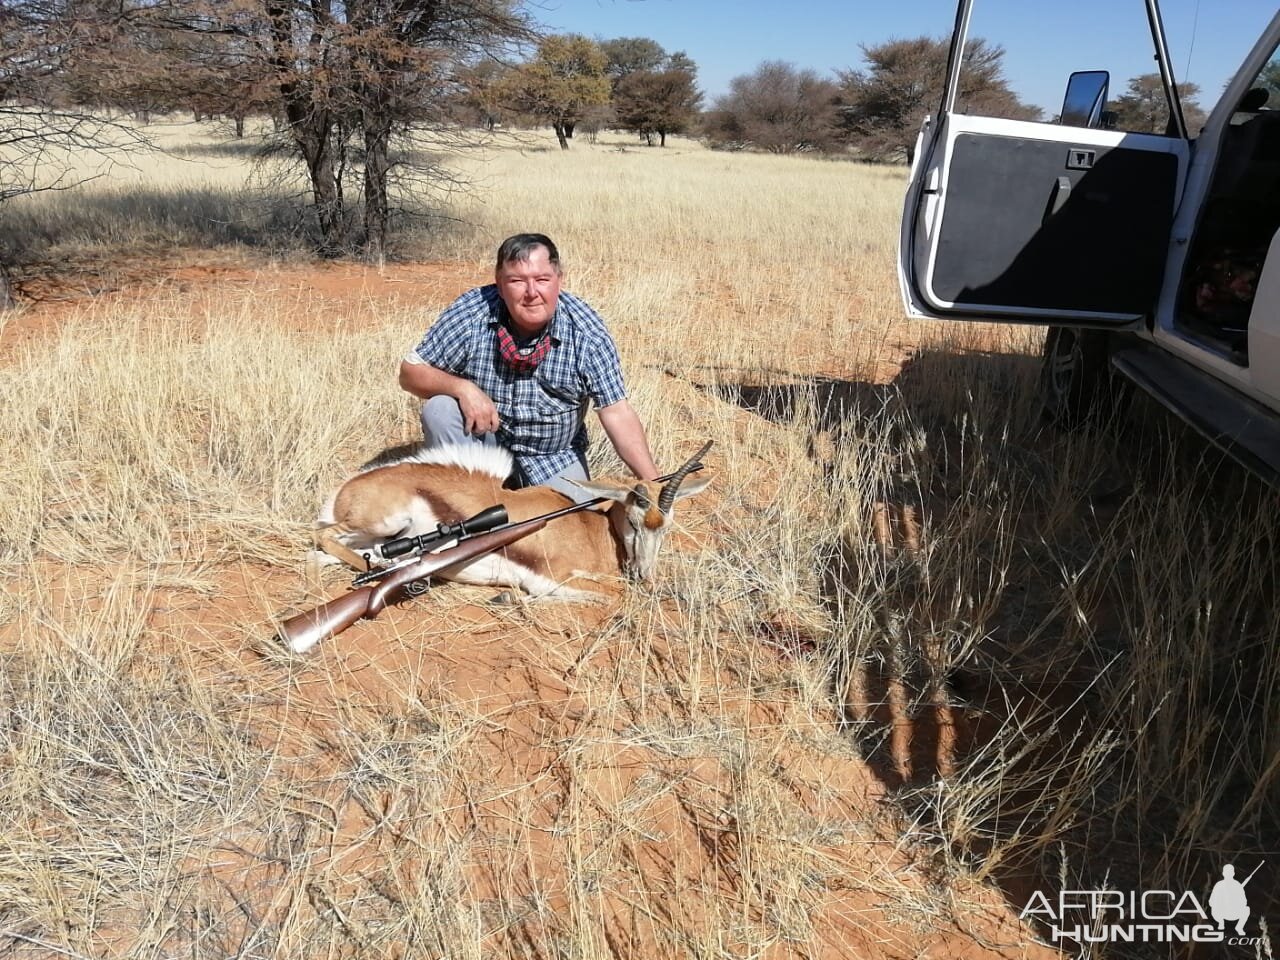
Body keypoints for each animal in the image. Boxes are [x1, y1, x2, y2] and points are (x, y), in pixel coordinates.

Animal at [309, 442, 711, 601]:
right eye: (632, 519)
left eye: (666, 526)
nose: (646, 575)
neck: (590, 532)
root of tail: (349, 487)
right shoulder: (548, 580)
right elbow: (604, 596)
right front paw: (506, 599)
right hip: (382, 525)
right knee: (322, 535)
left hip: (375, 538)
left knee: (325, 555)